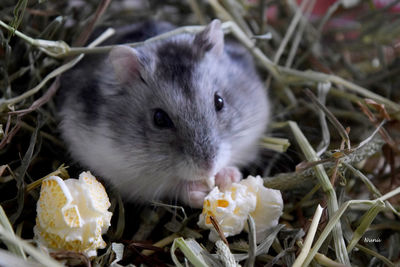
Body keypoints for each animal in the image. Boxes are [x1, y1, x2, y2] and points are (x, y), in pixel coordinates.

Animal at [57, 19, 270, 208]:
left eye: (219, 101)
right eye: (159, 119)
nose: (208, 167)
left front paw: (228, 177)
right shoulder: (130, 177)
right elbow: (173, 186)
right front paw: (197, 192)